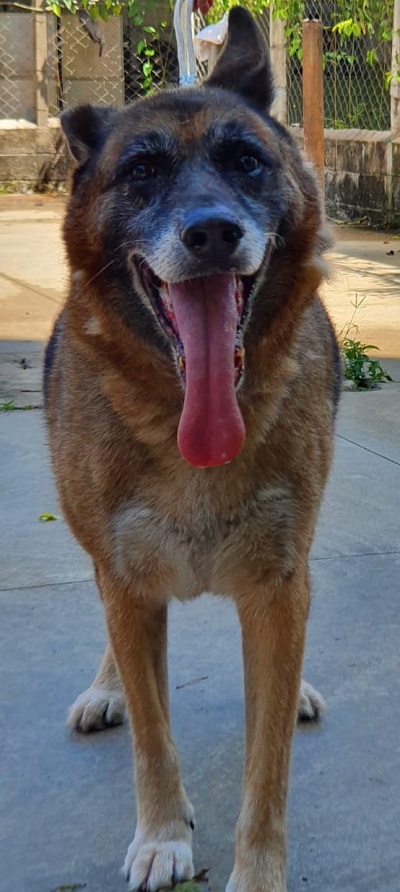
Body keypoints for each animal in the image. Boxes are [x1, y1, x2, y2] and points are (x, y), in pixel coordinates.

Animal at [43, 8, 340, 892]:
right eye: (141, 171)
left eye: (247, 161)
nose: (212, 232)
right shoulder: (127, 580)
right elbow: (152, 731)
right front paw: (163, 835)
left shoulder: (277, 590)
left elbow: (267, 766)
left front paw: (259, 873)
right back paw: (105, 688)